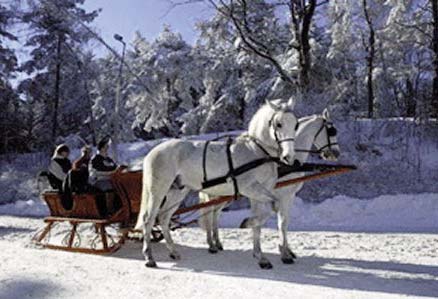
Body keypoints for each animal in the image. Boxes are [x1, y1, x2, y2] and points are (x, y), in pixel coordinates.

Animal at [135, 99, 302, 268]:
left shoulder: (259, 193)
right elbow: (268, 212)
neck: (256, 151)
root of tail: (152, 152)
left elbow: (260, 221)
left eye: (295, 124)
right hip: (158, 190)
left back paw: (173, 252)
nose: (289, 157)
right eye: (279, 124)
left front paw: (261, 257)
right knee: (148, 219)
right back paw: (149, 257)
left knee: (163, 218)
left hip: (177, 192)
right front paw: (246, 223)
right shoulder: (250, 189)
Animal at [200, 109, 340, 266]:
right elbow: (281, 223)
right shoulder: (283, 196)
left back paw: (216, 242)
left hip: (225, 195)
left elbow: (282, 222)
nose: (336, 153)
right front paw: (284, 254)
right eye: (332, 130)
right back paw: (211, 244)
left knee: (215, 213)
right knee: (209, 213)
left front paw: (286, 250)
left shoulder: (287, 197)